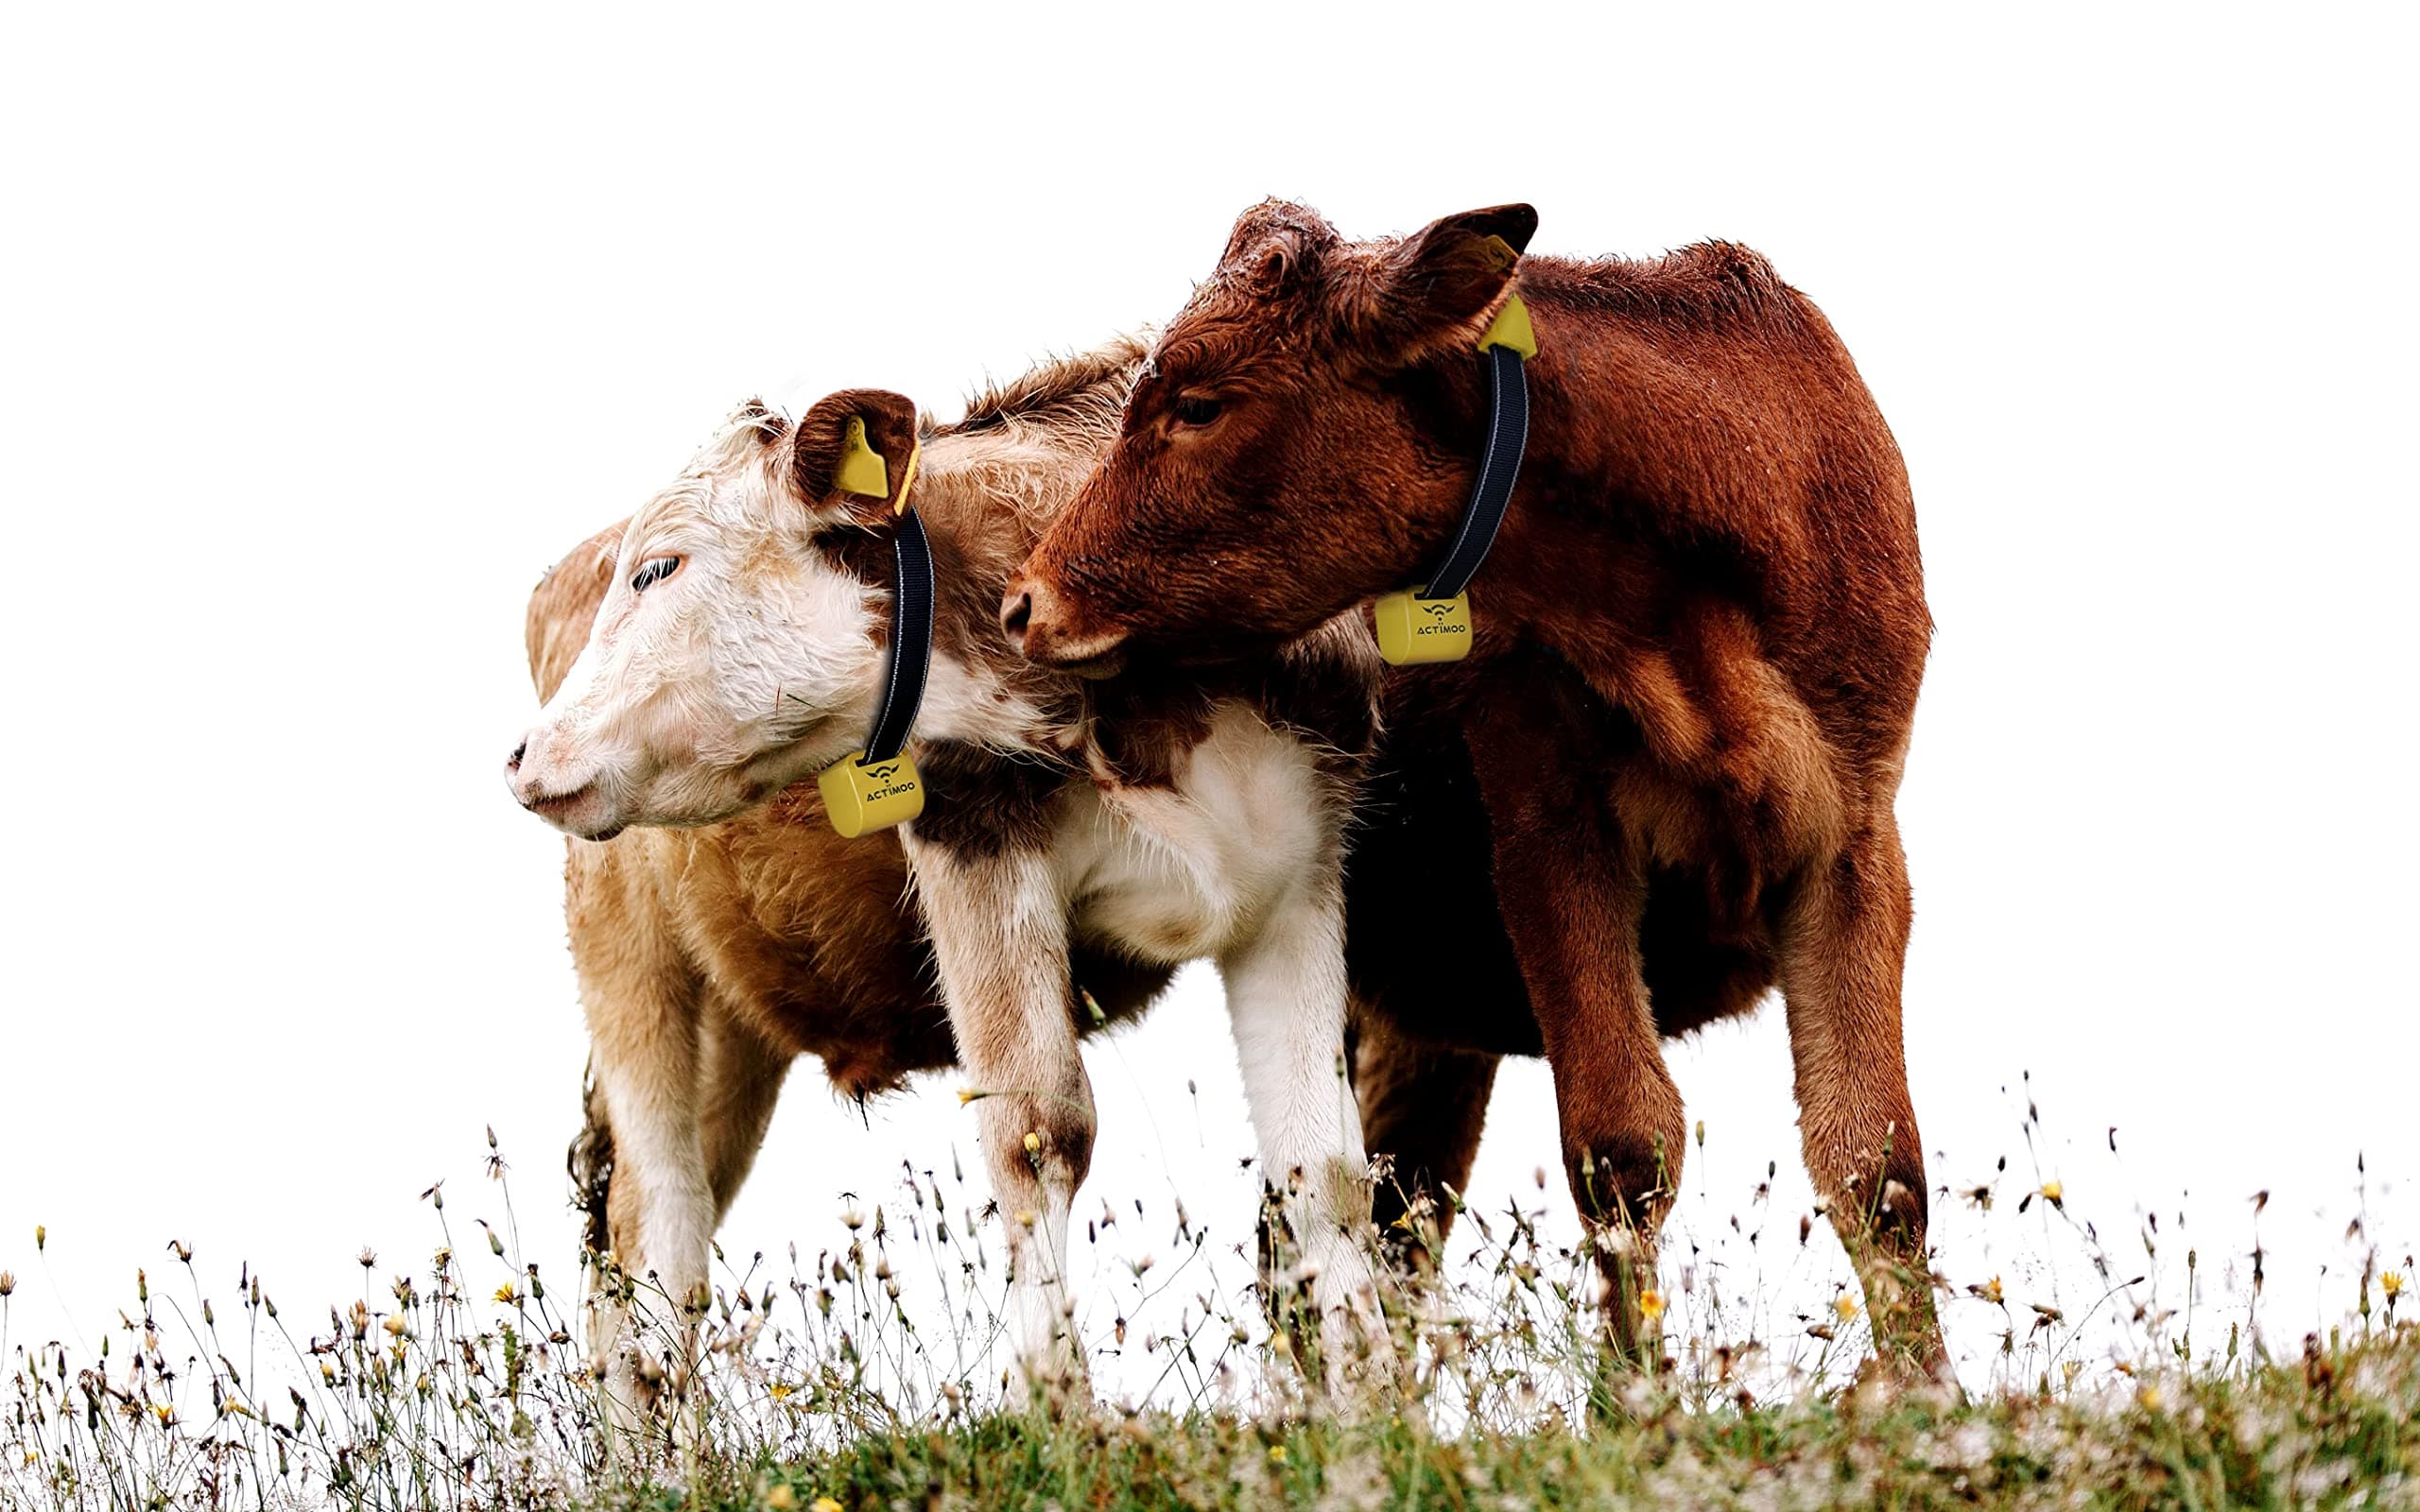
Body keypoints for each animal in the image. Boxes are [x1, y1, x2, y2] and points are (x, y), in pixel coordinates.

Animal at [1002, 203, 1946, 1373]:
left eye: (1198, 401)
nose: (1026, 599)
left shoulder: (1855, 840)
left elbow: (1875, 1167)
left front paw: (1926, 1398)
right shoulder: (1545, 827)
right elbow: (1621, 1143)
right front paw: (1637, 1400)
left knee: (1385, 1222)